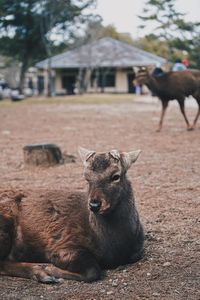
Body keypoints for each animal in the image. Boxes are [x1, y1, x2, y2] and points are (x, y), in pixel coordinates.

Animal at [0, 148, 144, 284]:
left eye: (115, 176)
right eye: (86, 178)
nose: (94, 204)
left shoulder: (137, 251)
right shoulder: (61, 246)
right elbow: (92, 271)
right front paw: (50, 268)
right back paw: (42, 273)